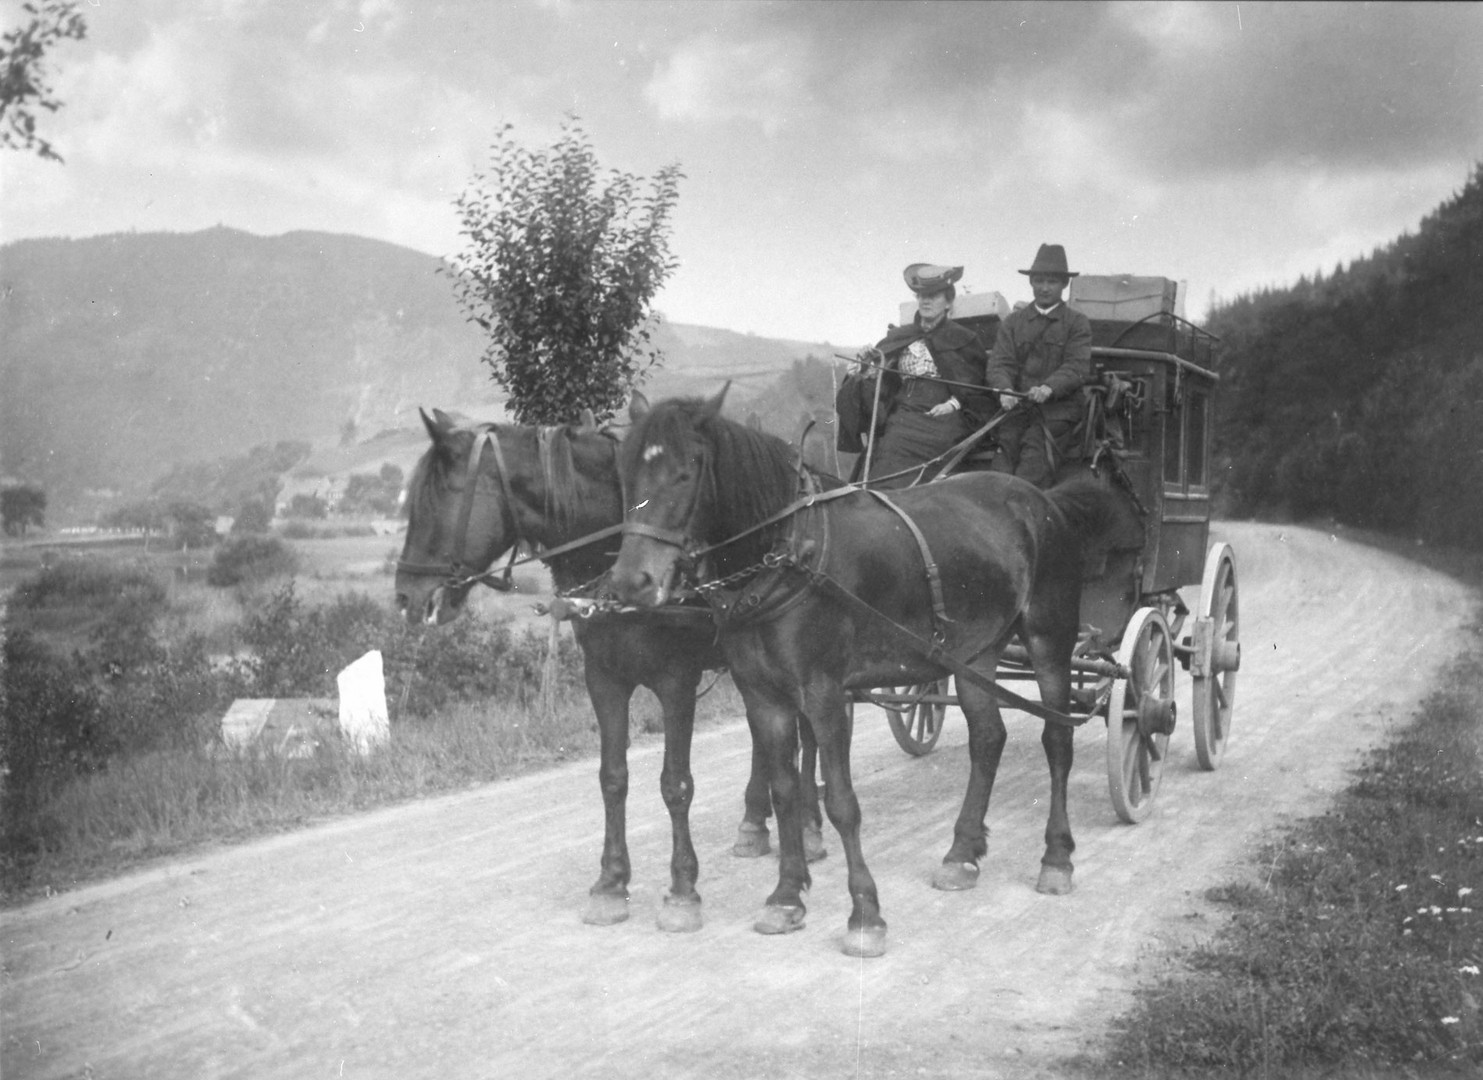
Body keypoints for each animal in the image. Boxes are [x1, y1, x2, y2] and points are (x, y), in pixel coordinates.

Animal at [394, 409, 824, 931]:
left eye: (439, 498)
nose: (406, 597)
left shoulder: (676, 683)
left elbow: (675, 784)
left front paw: (682, 891)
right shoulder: (603, 679)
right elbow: (612, 778)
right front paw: (611, 883)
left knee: (804, 734)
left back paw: (809, 828)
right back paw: (754, 825)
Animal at [608, 391, 1127, 955]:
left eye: (685, 473)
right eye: (626, 472)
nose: (631, 582)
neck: (789, 554)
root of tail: (1043, 501)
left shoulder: (824, 694)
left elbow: (840, 802)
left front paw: (865, 913)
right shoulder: (763, 696)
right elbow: (785, 791)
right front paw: (786, 896)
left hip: (1049, 641)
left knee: (1057, 740)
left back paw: (1056, 857)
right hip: (975, 653)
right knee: (988, 738)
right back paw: (962, 852)